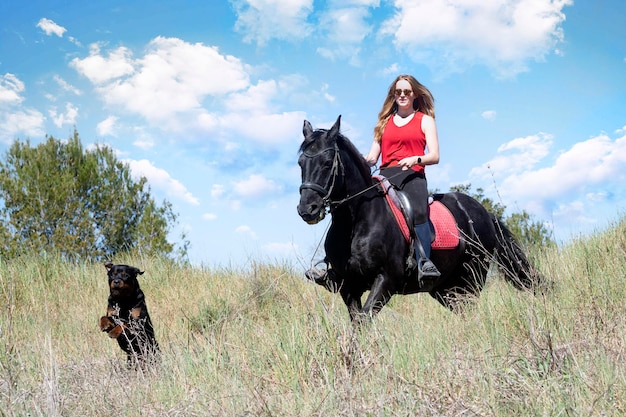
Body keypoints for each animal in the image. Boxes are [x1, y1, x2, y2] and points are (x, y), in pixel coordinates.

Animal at [298, 116, 540, 322]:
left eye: (327, 162)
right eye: (300, 162)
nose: (307, 209)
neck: (355, 223)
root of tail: (484, 213)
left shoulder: (386, 281)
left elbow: (364, 319)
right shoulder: (349, 286)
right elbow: (357, 324)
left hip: (472, 277)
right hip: (445, 288)